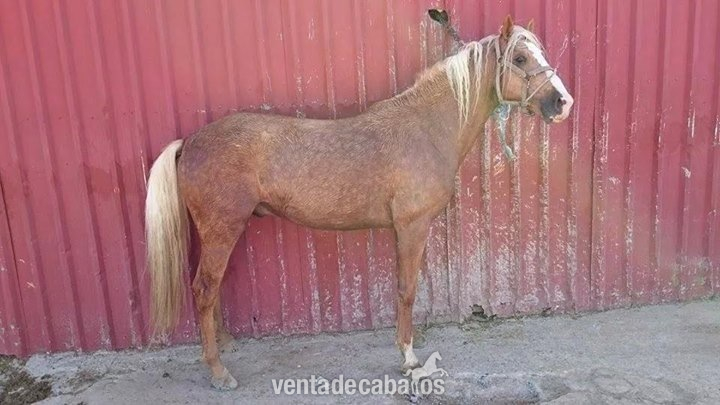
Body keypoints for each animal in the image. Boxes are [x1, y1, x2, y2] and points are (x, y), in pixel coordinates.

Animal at [144, 14, 573, 390]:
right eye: (520, 59)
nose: (562, 102)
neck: (426, 129)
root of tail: (190, 142)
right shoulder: (412, 227)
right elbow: (406, 290)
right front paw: (408, 358)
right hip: (222, 230)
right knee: (204, 290)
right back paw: (219, 372)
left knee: (211, 289)